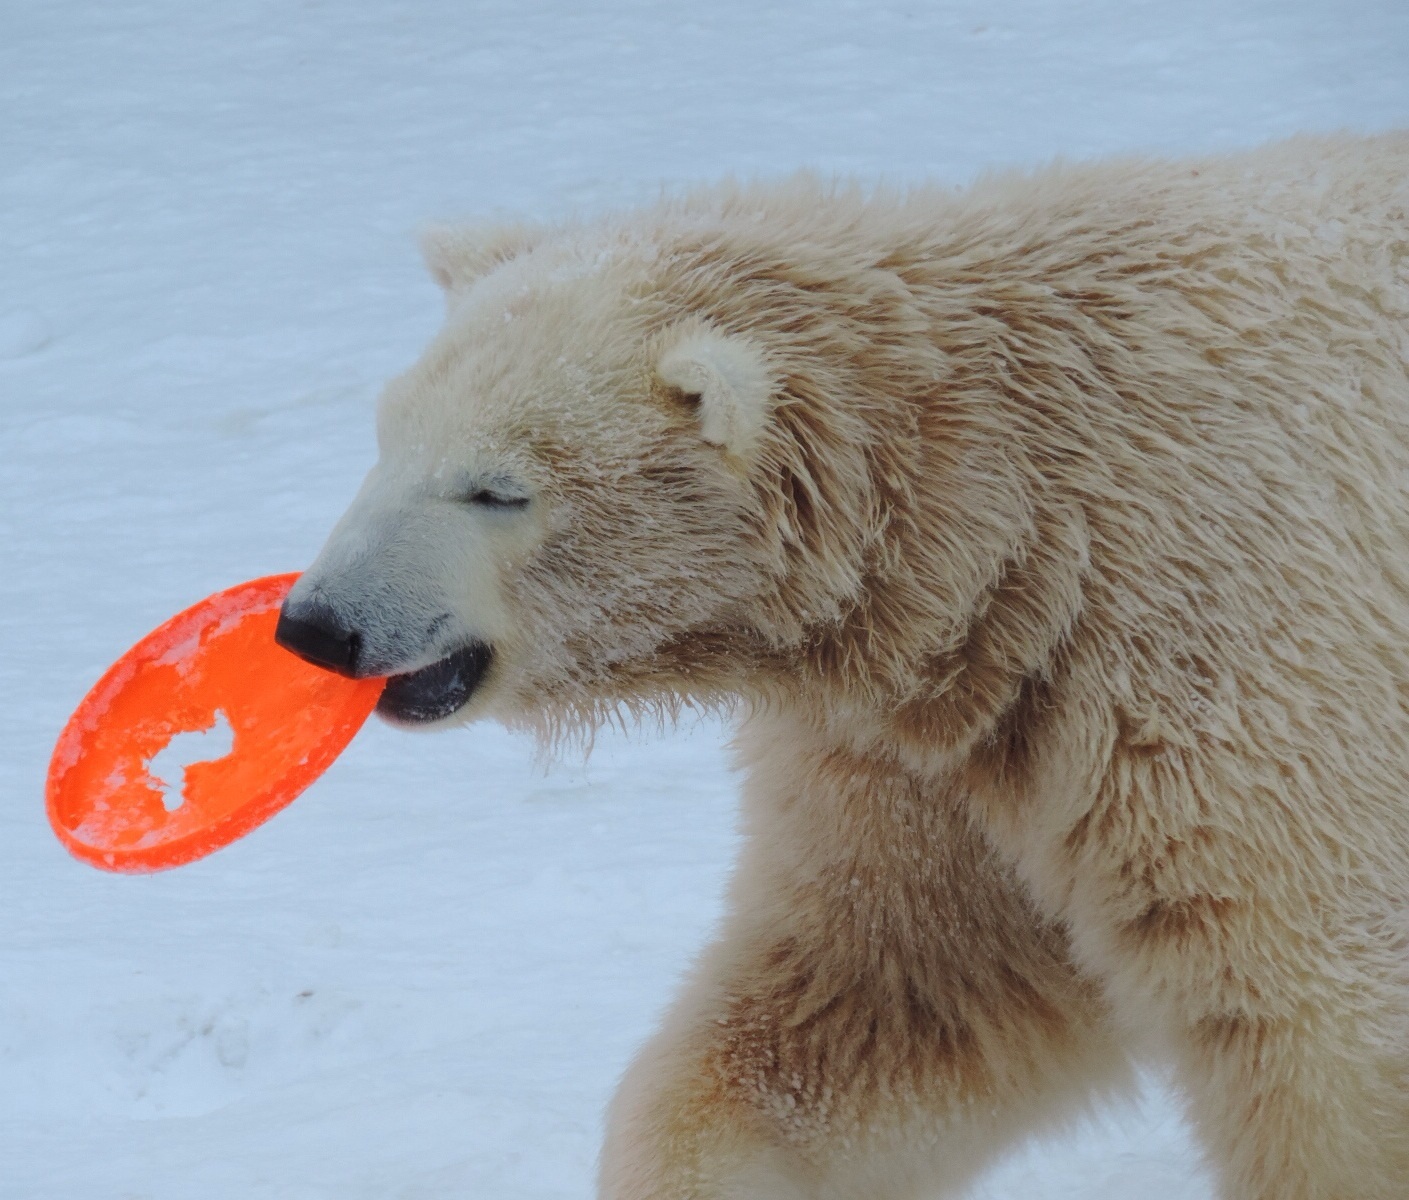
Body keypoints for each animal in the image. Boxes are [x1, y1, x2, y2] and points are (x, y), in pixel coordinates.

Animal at [277, 133, 1409, 1200]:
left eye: (497, 489)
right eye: (386, 438)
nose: (317, 626)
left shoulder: (1209, 651)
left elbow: (1314, 1020)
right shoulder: (935, 732)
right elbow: (882, 998)